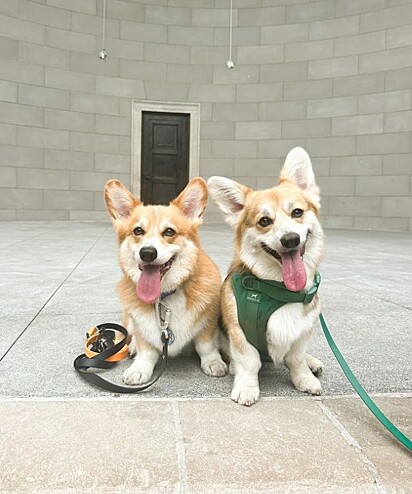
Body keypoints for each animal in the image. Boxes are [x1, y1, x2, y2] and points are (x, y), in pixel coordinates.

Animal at [104, 178, 227, 386]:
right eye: (138, 231)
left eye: (169, 232)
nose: (147, 252)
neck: (165, 296)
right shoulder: (142, 327)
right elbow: (146, 350)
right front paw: (139, 369)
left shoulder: (208, 321)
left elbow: (206, 345)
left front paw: (213, 362)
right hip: (128, 319)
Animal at [209, 147, 326, 406]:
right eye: (264, 221)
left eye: (297, 212)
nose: (290, 239)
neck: (279, 290)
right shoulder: (240, 332)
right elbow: (249, 361)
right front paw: (246, 387)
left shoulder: (303, 331)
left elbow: (297, 358)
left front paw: (305, 378)